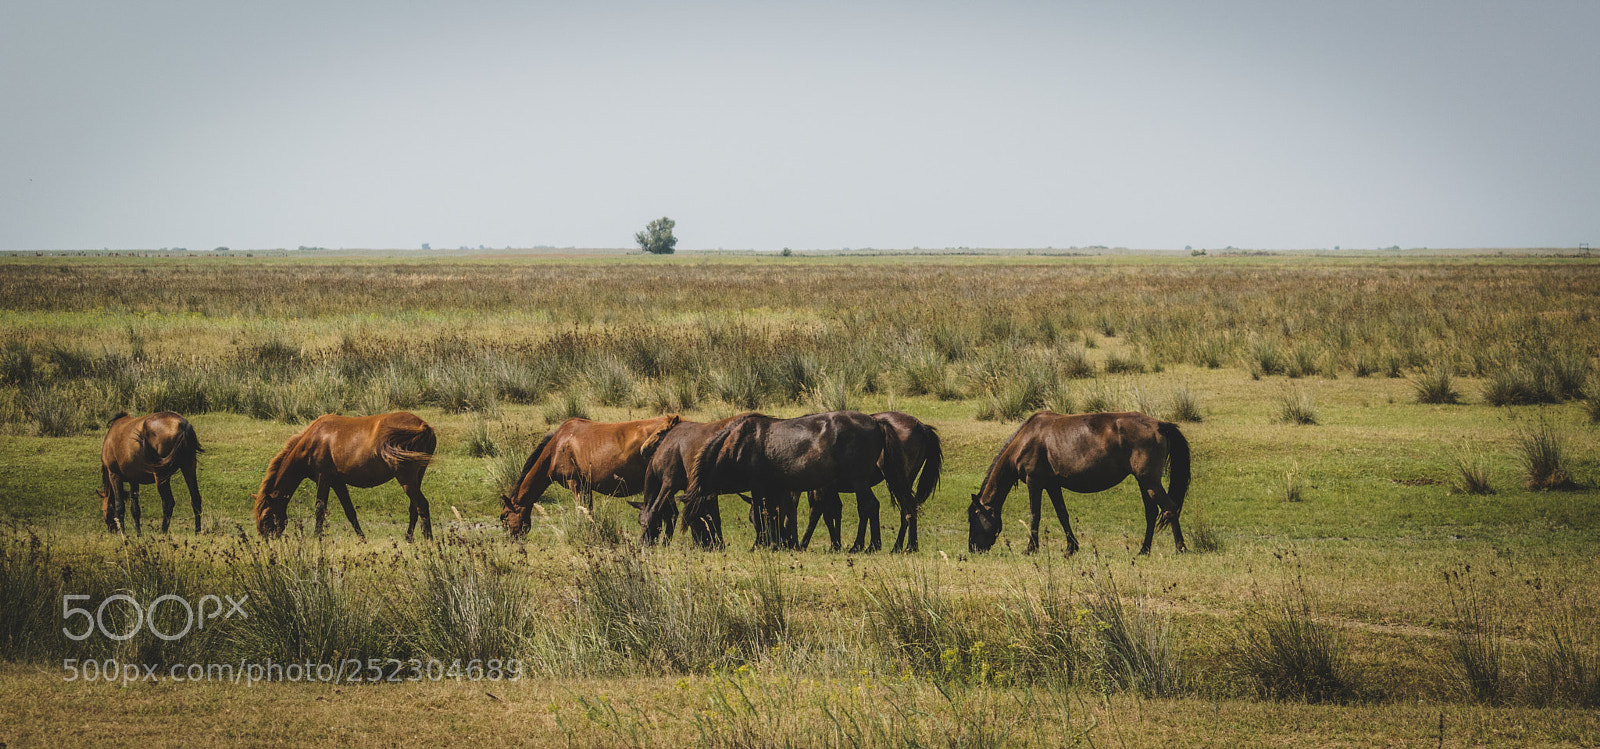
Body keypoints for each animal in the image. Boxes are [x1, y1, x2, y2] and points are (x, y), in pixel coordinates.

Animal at [252, 412, 436, 541]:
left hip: (405, 478)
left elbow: (320, 509)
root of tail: (422, 426)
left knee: (421, 504)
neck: (313, 439)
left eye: (266, 516)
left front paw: (317, 538)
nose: (264, 540)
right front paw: (362, 539)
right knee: (414, 507)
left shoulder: (323, 479)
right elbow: (350, 512)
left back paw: (428, 540)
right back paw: (409, 539)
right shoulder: (338, 483)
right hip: (417, 476)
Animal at [499, 414, 681, 538]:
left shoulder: (576, 483)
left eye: (504, 516)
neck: (558, 445)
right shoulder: (586, 487)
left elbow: (585, 513)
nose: (511, 539)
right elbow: (589, 512)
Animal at [683, 410, 915, 551]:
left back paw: (867, 546)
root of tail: (876, 421)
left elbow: (763, 513)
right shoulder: (774, 489)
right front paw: (776, 543)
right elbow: (774, 514)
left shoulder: (758, 487)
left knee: (869, 506)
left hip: (859, 480)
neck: (738, 445)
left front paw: (762, 544)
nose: (708, 546)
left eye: (700, 517)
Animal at [798, 411, 942, 553]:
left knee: (905, 508)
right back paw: (900, 547)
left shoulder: (821, 489)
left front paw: (807, 544)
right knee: (906, 510)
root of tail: (920, 426)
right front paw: (836, 544)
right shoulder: (831, 489)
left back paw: (906, 547)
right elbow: (835, 512)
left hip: (894, 480)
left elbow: (820, 513)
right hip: (902, 483)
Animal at [967, 411, 1189, 555]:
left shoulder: (1034, 482)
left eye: (973, 518)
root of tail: (1159, 425)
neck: (1025, 440)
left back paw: (1181, 548)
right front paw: (1071, 548)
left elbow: (1034, 515)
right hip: (1144, 482)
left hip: (1149, 481)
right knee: (1151, 513)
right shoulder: (1052, 485)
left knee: (1170, 508)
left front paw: (1030, 548)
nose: (972, 549)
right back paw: (1144, 550)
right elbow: (1062, 515)